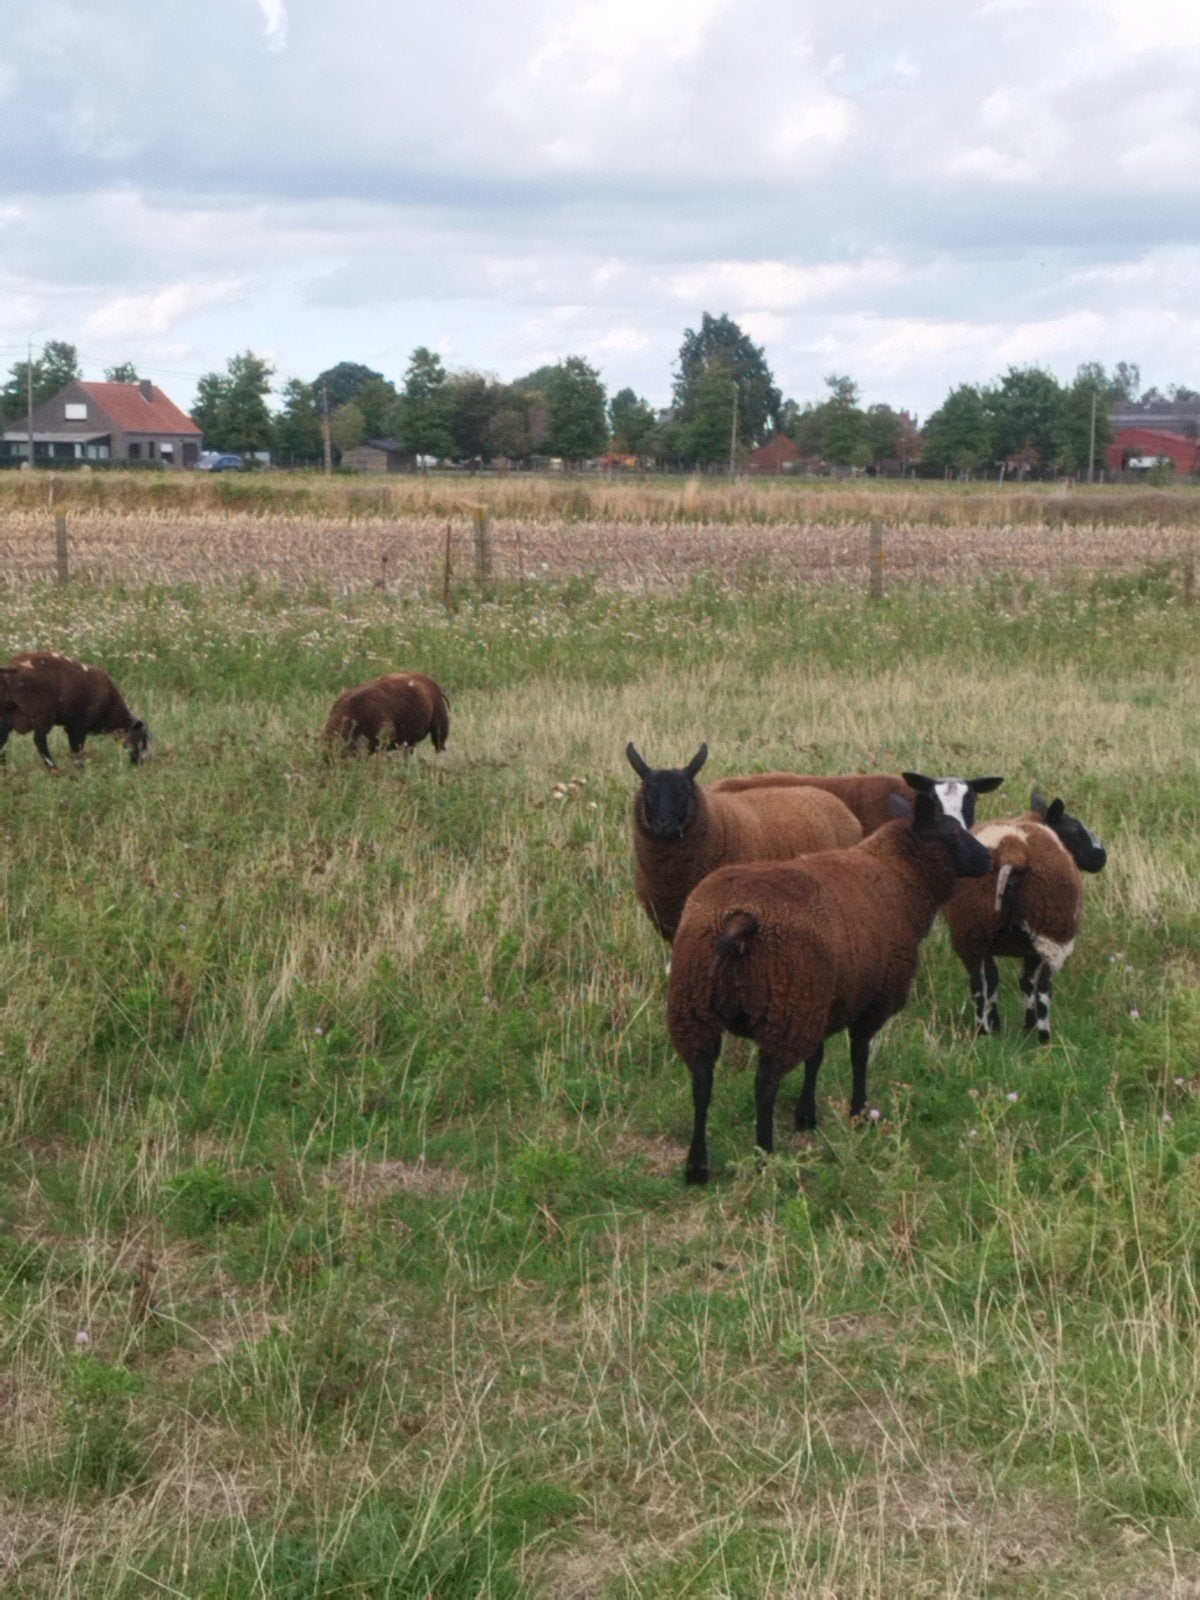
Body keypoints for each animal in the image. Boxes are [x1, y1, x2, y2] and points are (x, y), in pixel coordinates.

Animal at [0, 652, 150, 770]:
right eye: (142, 741)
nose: (140, 763)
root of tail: (15, 668)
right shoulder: (78, 726)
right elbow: (77, 749)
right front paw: (80, 768)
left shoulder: (71, 727)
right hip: (43, 714)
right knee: (40, 742)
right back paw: (54, 769)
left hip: (6, 715)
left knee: (3, 743)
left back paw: (4, 769)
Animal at [667, 790, 992, 1182]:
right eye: (954, 832)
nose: (989, 859)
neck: (899, 874)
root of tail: (737, 919)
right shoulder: (871, 1002)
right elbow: (859, 1054)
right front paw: (859, 1113)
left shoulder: (825, 1001)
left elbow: (817, 1057)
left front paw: (807, 1115)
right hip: (786, 1008)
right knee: (764, 1085)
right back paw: (764, 1155)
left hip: (700, 1006)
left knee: (701, 1082)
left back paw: (696, 1166)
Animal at [943, 790, 1107, 1044]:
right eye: (1073, 829)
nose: (1101, 856)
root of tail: (1013, 849)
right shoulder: (1035, 947)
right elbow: (1027, 984)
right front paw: (1028, 1026)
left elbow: (995, 981)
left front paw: (997, 1025)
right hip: (1052, 933)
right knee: (1043, 990)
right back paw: (1044, 1040)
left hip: (970, 928)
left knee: (978, 987)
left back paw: (982, 1033)